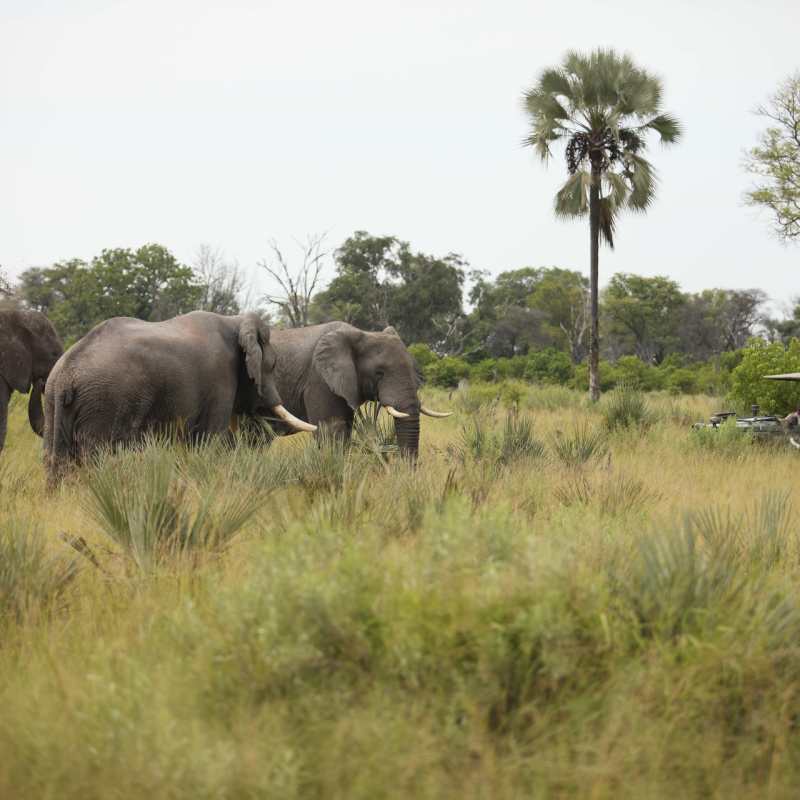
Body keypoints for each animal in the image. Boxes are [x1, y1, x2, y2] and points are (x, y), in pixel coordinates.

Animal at [43, 310, 315, 482]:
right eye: (273, 365)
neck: (235, 321)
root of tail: (66, 374)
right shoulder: (220, 379)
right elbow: (209, 439)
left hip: (54, 404)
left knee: (54, 459)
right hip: (103, 403)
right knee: (95, 458)